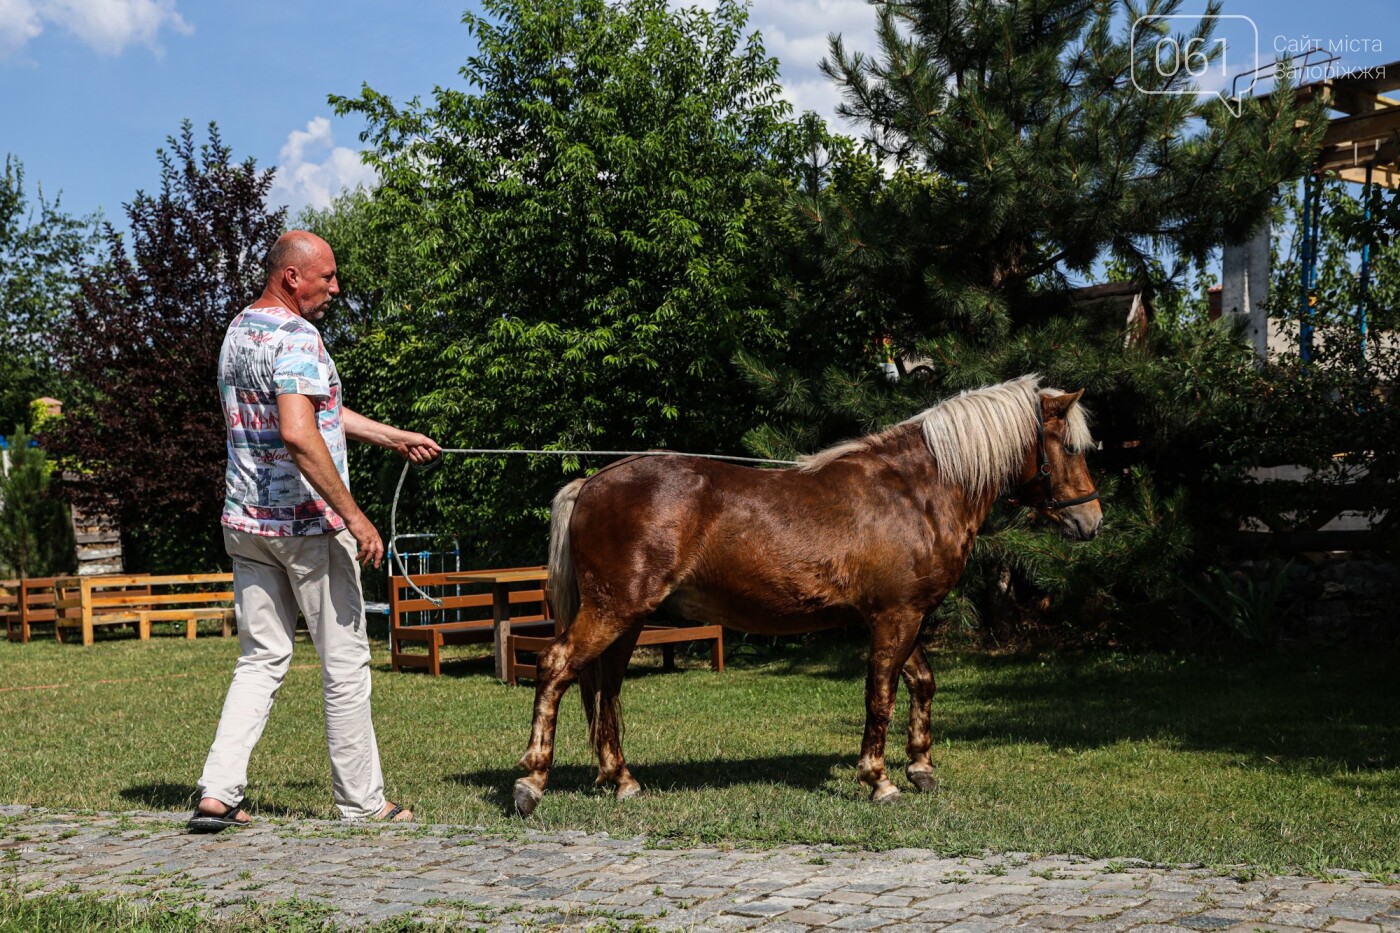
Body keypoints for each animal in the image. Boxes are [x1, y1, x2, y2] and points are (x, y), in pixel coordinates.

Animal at [515, 375, 1103, 812]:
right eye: (1072, 447)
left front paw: (921, 767)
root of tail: (593, 482)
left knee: (606, 687)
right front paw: (879, 780)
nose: (1092, 521)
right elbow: (881, 695)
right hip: (613, 611)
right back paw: (531, 783)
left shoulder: (904, 615)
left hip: (629, 618)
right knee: (556, 667)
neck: (917, 491)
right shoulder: (895, 617)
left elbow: (922, 683)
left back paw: (622, 780)